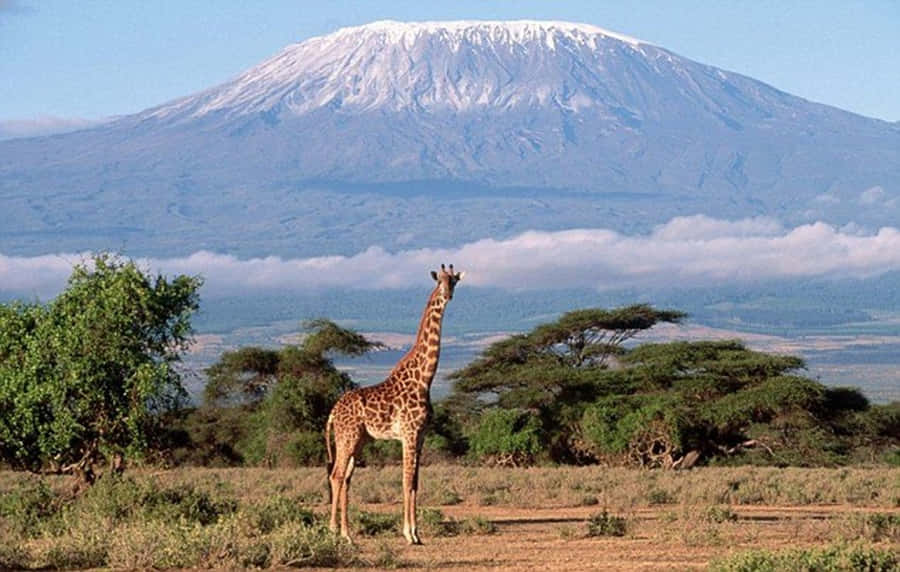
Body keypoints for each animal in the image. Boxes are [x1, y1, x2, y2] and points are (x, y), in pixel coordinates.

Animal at [325, 264, 464, 544]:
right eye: (440, 281)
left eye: (454, 281)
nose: (447, 294)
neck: (424, 379)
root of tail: (333, 411)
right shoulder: (409, 434)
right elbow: (406, 480)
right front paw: (409, 534)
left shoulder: (420, 436)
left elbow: (415, 483)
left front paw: (417, 534)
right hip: (346, 437)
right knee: (336, 475)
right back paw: (336, 532)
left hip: (359, 440)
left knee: (346, 479)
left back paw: (347, 533)